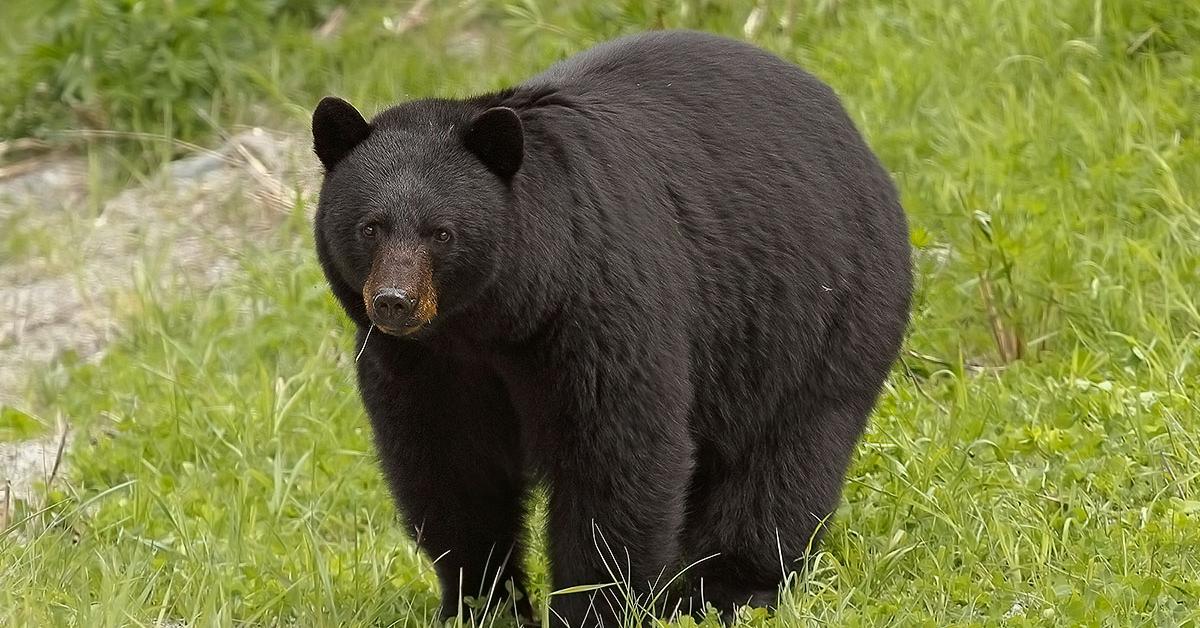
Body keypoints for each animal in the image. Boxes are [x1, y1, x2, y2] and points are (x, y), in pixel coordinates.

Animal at [309, 29, 907, 628]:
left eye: (441, 232)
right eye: (370, 227)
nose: (394, 302)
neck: (492, 322)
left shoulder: (595, 307)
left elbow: (616, 458)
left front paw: (591, 607)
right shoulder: (420, 363)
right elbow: (450, 469)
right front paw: (482, 603)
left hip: (818, 315)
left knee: (782, 461)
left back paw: (727, 589)